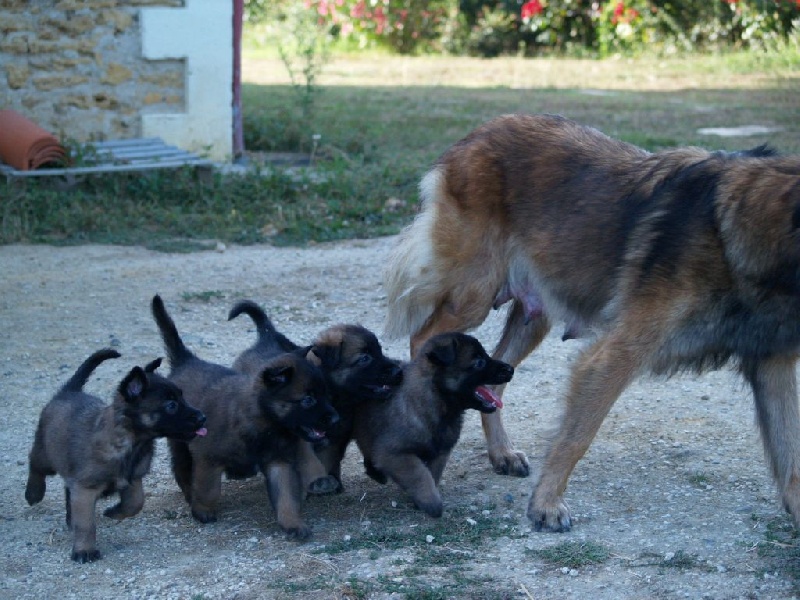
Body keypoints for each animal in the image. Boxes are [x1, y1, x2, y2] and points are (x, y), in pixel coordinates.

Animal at [25, 346, 206, 564]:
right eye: (171, 405)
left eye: (182, 397)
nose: (203, 417)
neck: (131, 443)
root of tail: (69, 391)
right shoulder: (85, 489)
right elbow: (86, 524)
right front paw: (84, 551)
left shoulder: (133, 480)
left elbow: (135, 503)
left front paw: (114, 512)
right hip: (46, 455)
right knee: (35, 465)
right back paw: (33, 493)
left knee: (67, 489)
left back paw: (69, 519)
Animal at [153, 296, 338, 540]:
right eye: (308, 400)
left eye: (326, 394)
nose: (335, 419)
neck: (264, 423)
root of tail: (186, 361)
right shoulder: (206, 457)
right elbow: (208, 488)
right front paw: (202, 509)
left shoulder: (278, 461)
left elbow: (286, 497)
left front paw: (292, 523)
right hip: (180, 440)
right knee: (181, 468)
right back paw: (190, 495)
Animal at [228, 300, 404, 492]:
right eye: (365, 358)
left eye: (380, 351)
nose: (398, 371)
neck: (336, 398)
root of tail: (266, 337)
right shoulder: (302, 431)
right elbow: (310, 459)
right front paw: (319, 480)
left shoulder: (336, 437)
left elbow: (331, 459)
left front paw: (332, 481)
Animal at [354, 330, 516, 516]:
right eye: (479, 362)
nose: (510, 369)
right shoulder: (394, 453)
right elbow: (420, 474)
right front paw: (431, 502)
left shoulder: (441, 452)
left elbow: (432, 475)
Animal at [382, 112, 800, 528]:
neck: (737, 232)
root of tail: (480, 132)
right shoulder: (616, 354)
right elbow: (578, 435)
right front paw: (547, 504)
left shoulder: (774, 364)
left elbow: (790, 449)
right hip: (474, 295)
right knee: (423, 339)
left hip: (534, 318)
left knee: (494, 382)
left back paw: (502, 453)